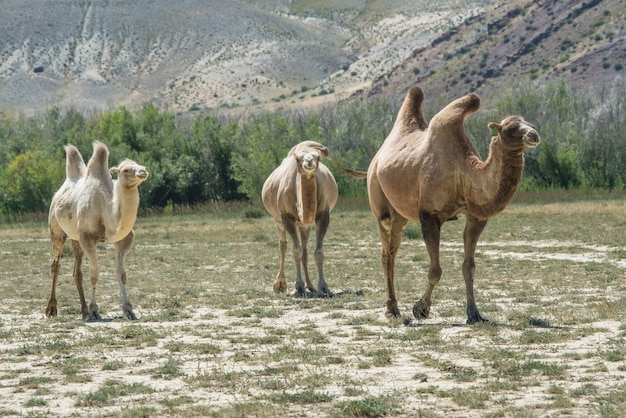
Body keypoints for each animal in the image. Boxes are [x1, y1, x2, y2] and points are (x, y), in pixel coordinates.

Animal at [46, 142, 149, 322]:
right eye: (125, 170)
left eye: (140, 165)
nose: (143, 172)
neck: (106, 210)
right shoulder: (87, 238)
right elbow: (94, 273)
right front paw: (94, 310)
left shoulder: (125, 238)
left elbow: (121, 273)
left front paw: (128, 310)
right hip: (56, 231)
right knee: (56, 265)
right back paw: (52, 309)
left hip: (75, 238)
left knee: (77, 272)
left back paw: (83, 311)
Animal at [260, 141, 338, 298]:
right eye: (297, 159)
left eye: (318, 158)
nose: (309, 161)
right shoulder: (286, 217)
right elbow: (296, 251)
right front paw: (299, 287)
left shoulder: (323, 215)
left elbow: (318, 252)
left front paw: (323, 287)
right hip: (278, 220)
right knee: (283, 245)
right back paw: (280, 284)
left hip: (304, 225)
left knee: (305, 250)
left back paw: (311, 286)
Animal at [348, 86, 540, 324]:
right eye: (511, 128)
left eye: (529, 123)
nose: (534, 135)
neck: (463, 173)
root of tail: (375, 160)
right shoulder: (429, 215)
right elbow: (435, 271)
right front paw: (420, 309)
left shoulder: (476, 216)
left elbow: (469, 267)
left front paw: (474, 314)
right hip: (378, 195)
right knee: (386, 251)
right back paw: (391, 309)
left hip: (401, 215)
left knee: (393, 249)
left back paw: (394, 306)